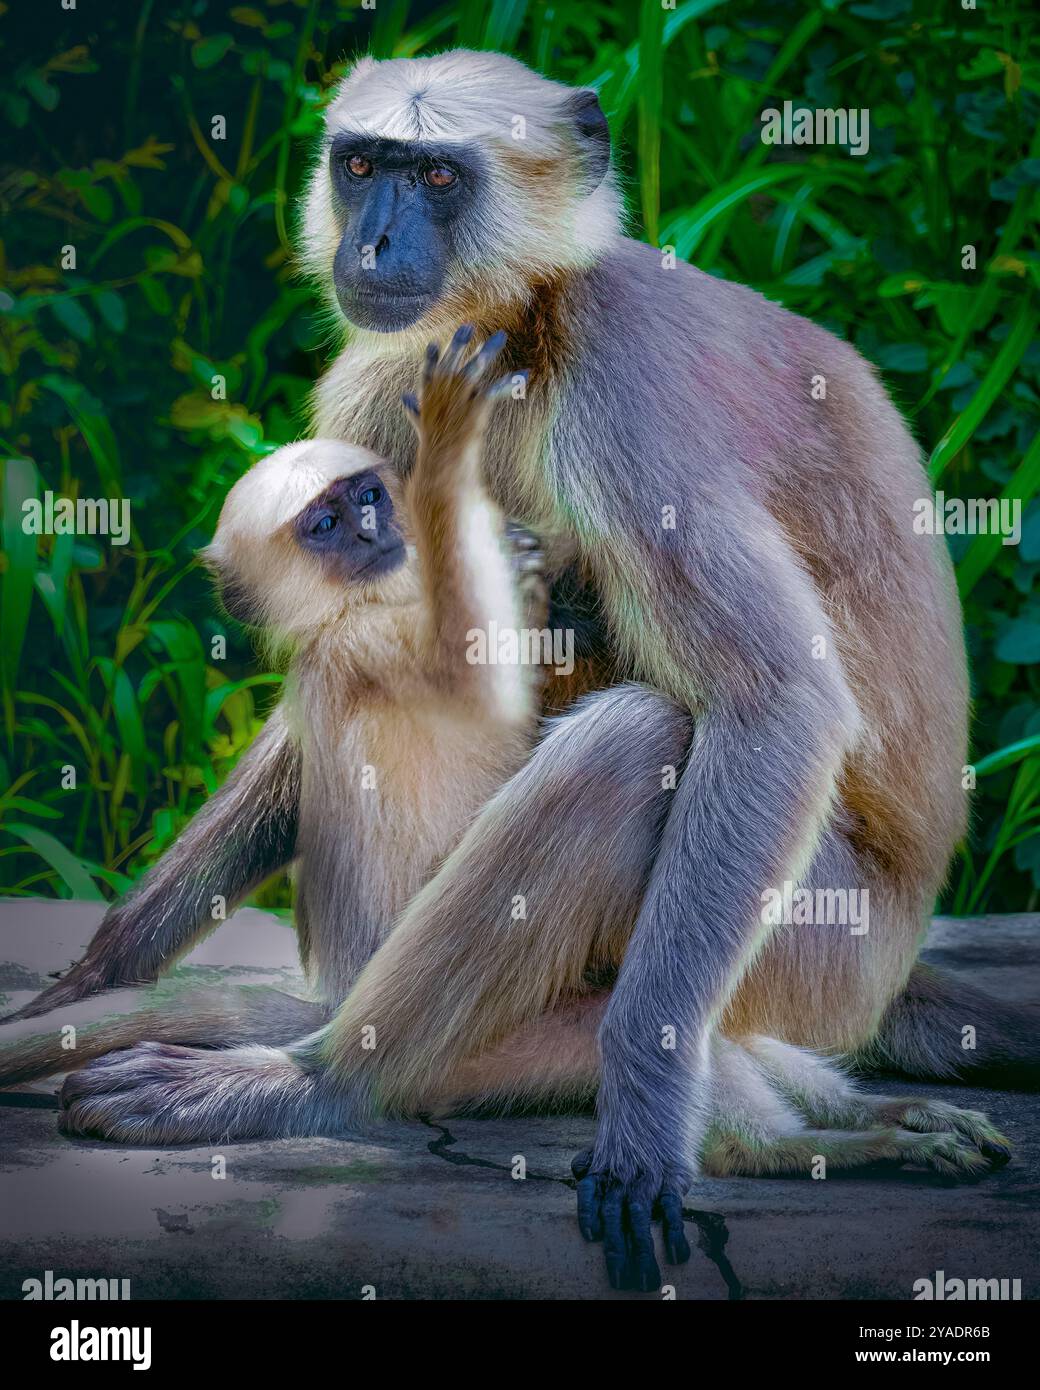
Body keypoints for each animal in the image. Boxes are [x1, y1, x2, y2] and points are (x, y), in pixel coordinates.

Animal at [4, 50, 1034, 1293]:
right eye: (363, 167)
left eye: (438, 177)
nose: (374, 243)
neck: (522, 321)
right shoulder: (386, 379)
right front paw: (96, 970)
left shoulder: (618, 376)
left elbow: (771, 701)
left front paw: (639, 1132)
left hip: (817, 952)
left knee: (631, 743)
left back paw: (318, 1084)